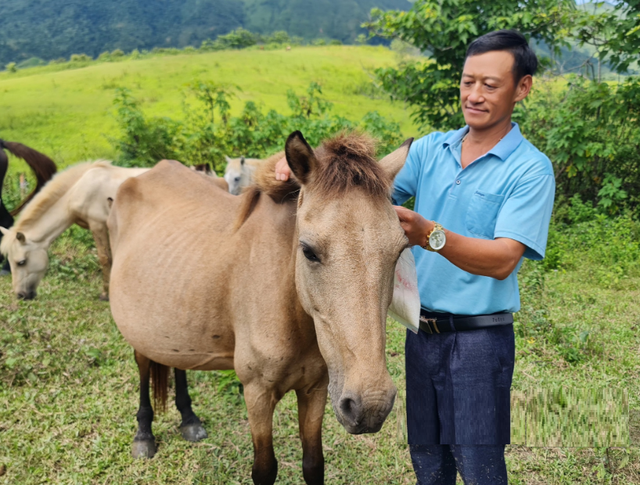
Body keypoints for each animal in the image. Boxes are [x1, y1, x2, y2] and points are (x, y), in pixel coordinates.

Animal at [107, 130, 412, 482]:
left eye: (399, 250)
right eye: (308, 250)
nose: (371, 404)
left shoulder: (316, 389)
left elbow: (313, 464)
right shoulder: (257, 394)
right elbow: (264, 469)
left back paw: (189, 419)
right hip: (139, 330)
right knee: (144, 364)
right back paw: (144, 434)